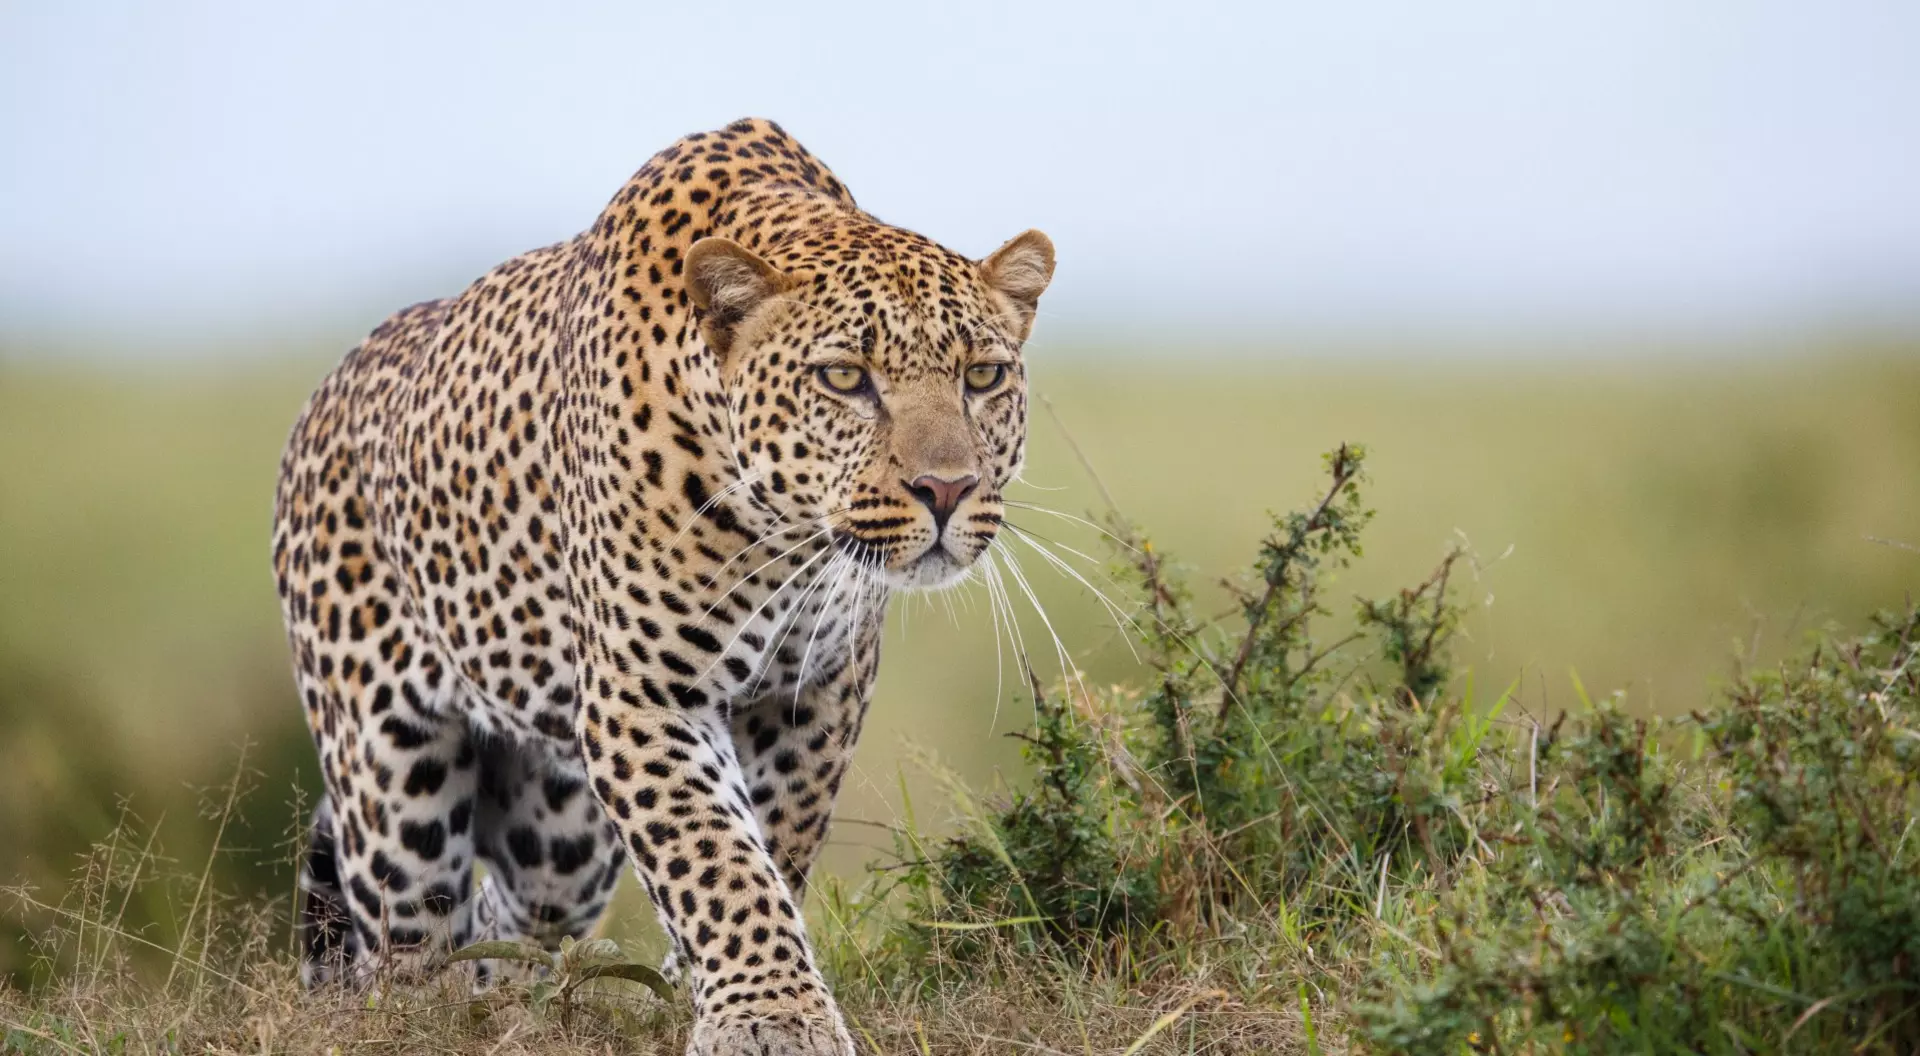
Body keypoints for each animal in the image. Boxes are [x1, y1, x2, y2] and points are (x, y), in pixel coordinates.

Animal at [271, 117, 1054, 1055]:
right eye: (844, 379)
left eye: (983, 377)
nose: (947, 490)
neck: (781, 535)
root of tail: (327, 390)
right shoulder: (644, 696)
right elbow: (715, 855)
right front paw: (770, 1015)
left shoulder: (815, 692)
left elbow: (771, 847)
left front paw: (701, 993)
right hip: (392, 785)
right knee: (408, 947)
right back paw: (442, 1014)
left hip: (559, 836)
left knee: (512, 915)